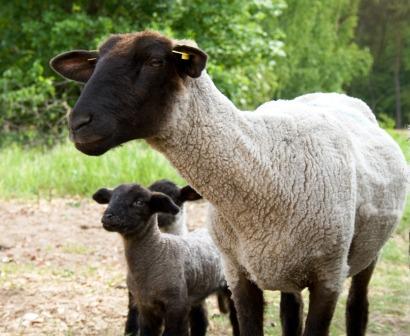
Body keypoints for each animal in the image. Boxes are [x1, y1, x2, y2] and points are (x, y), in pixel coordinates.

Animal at [92, 184, 240, 336]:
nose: (108, 217)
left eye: (139, 202)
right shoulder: (145, 307)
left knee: (235, 318)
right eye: (110, 199)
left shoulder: (176, 306)